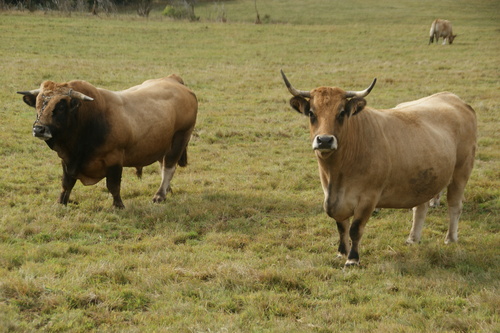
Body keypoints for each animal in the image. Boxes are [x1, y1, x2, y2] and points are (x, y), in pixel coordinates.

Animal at [17, 74, 197, 208]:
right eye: (38, 104)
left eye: (60, 106)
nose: (39, 129)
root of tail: (173, 79)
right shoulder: (67, 160)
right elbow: (66, 183)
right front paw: (61, 202)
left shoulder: (114, 159)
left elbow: (113, 185)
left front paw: (118, 205)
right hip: (163, 143)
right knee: (163, 164)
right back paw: (167, 190)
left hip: (180, 138)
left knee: (169, 167)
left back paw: (160, 194)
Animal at [282, 70, 476, 268]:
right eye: (311, 113)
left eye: (342, 112)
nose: (325, 140)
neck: (337, 172)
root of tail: (452, 98)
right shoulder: (332, 197)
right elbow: (341, 226)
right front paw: (341, 252)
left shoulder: (368, 197)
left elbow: (355, 229)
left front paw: (352, 259)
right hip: (425, 178)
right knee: (420, 208)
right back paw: (413, 239)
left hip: (461, 172)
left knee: (454, 205)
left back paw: (450, 238)